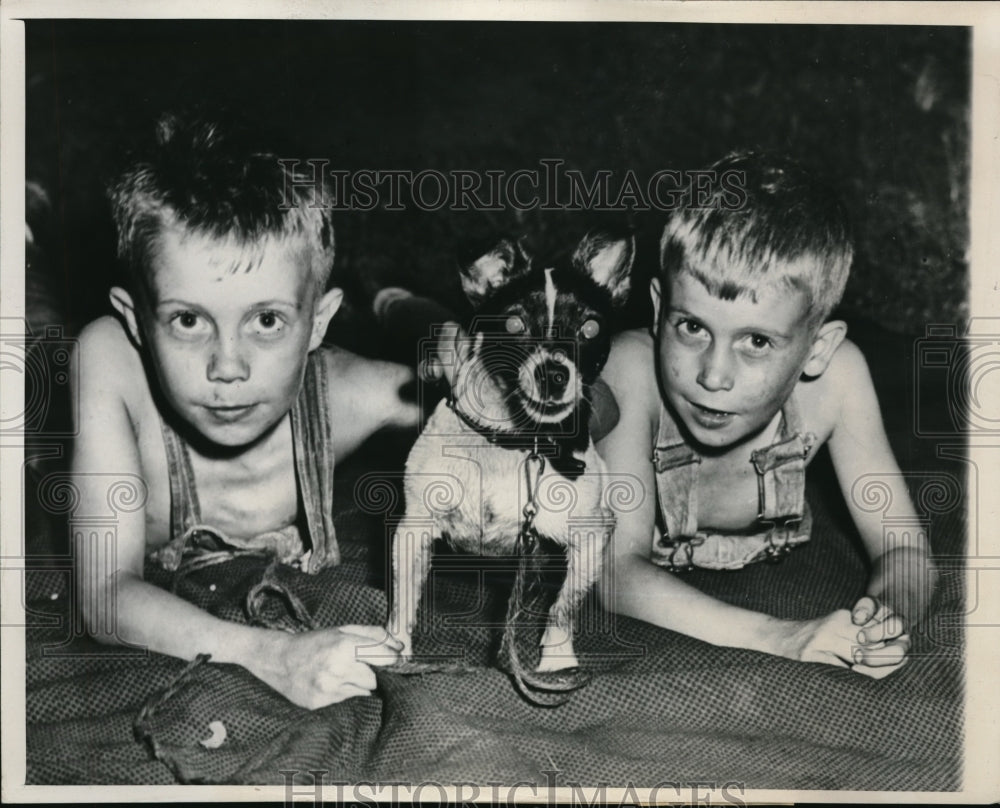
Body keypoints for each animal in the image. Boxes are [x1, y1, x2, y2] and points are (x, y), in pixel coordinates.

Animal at [386, 230, 628, 696]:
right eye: (514, 324)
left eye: (590, 328)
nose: (553, 374)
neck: (515, 442)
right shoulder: (413, 530)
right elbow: (402, 601)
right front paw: (391, 651)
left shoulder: (590, 535)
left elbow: (563, 606)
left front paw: (557, 660)